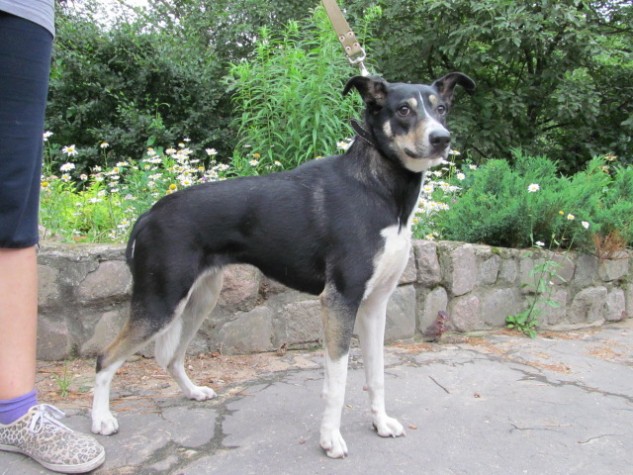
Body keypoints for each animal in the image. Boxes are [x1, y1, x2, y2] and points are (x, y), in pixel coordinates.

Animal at [90, 73, 475, 458]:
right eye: (404, 110)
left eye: (442, 108)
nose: (441, 138)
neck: (378, 189)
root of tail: (148, 214)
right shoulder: (340, 301)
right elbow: (337, 382)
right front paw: (330, 439)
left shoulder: (375, 305)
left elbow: (376, 375)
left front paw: (380, 423)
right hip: (161, 303)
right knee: (105, 358)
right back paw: (101, 420)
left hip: (198, 300)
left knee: (170, 357)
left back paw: (193, 392)